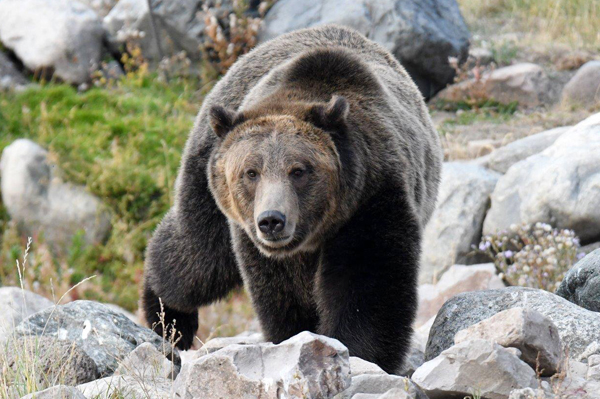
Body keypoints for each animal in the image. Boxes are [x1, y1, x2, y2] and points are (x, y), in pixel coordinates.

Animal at [141, 25, 440, 376]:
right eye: (251, 172)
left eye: (299, 170)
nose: (272, 220)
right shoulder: (256, 243)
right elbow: (282, 295)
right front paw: (299, 339)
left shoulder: (372, 199)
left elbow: (369, 284)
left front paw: (359, 353)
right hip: (207, 177)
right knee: (197, 258)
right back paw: (169, 319)